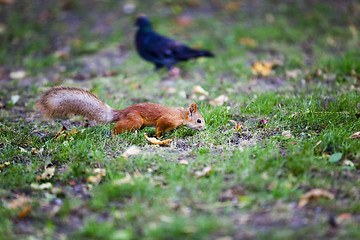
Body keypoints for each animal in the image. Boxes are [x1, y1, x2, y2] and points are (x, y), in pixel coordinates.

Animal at [37, 87, 205, 138]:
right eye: (198, 120)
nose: (204, 128)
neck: (181, 115)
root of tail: (121, 112)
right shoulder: (166, 119)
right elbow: (159, 128)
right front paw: (159, 138)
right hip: (135, 120)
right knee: (116, 128)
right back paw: (115, 135)